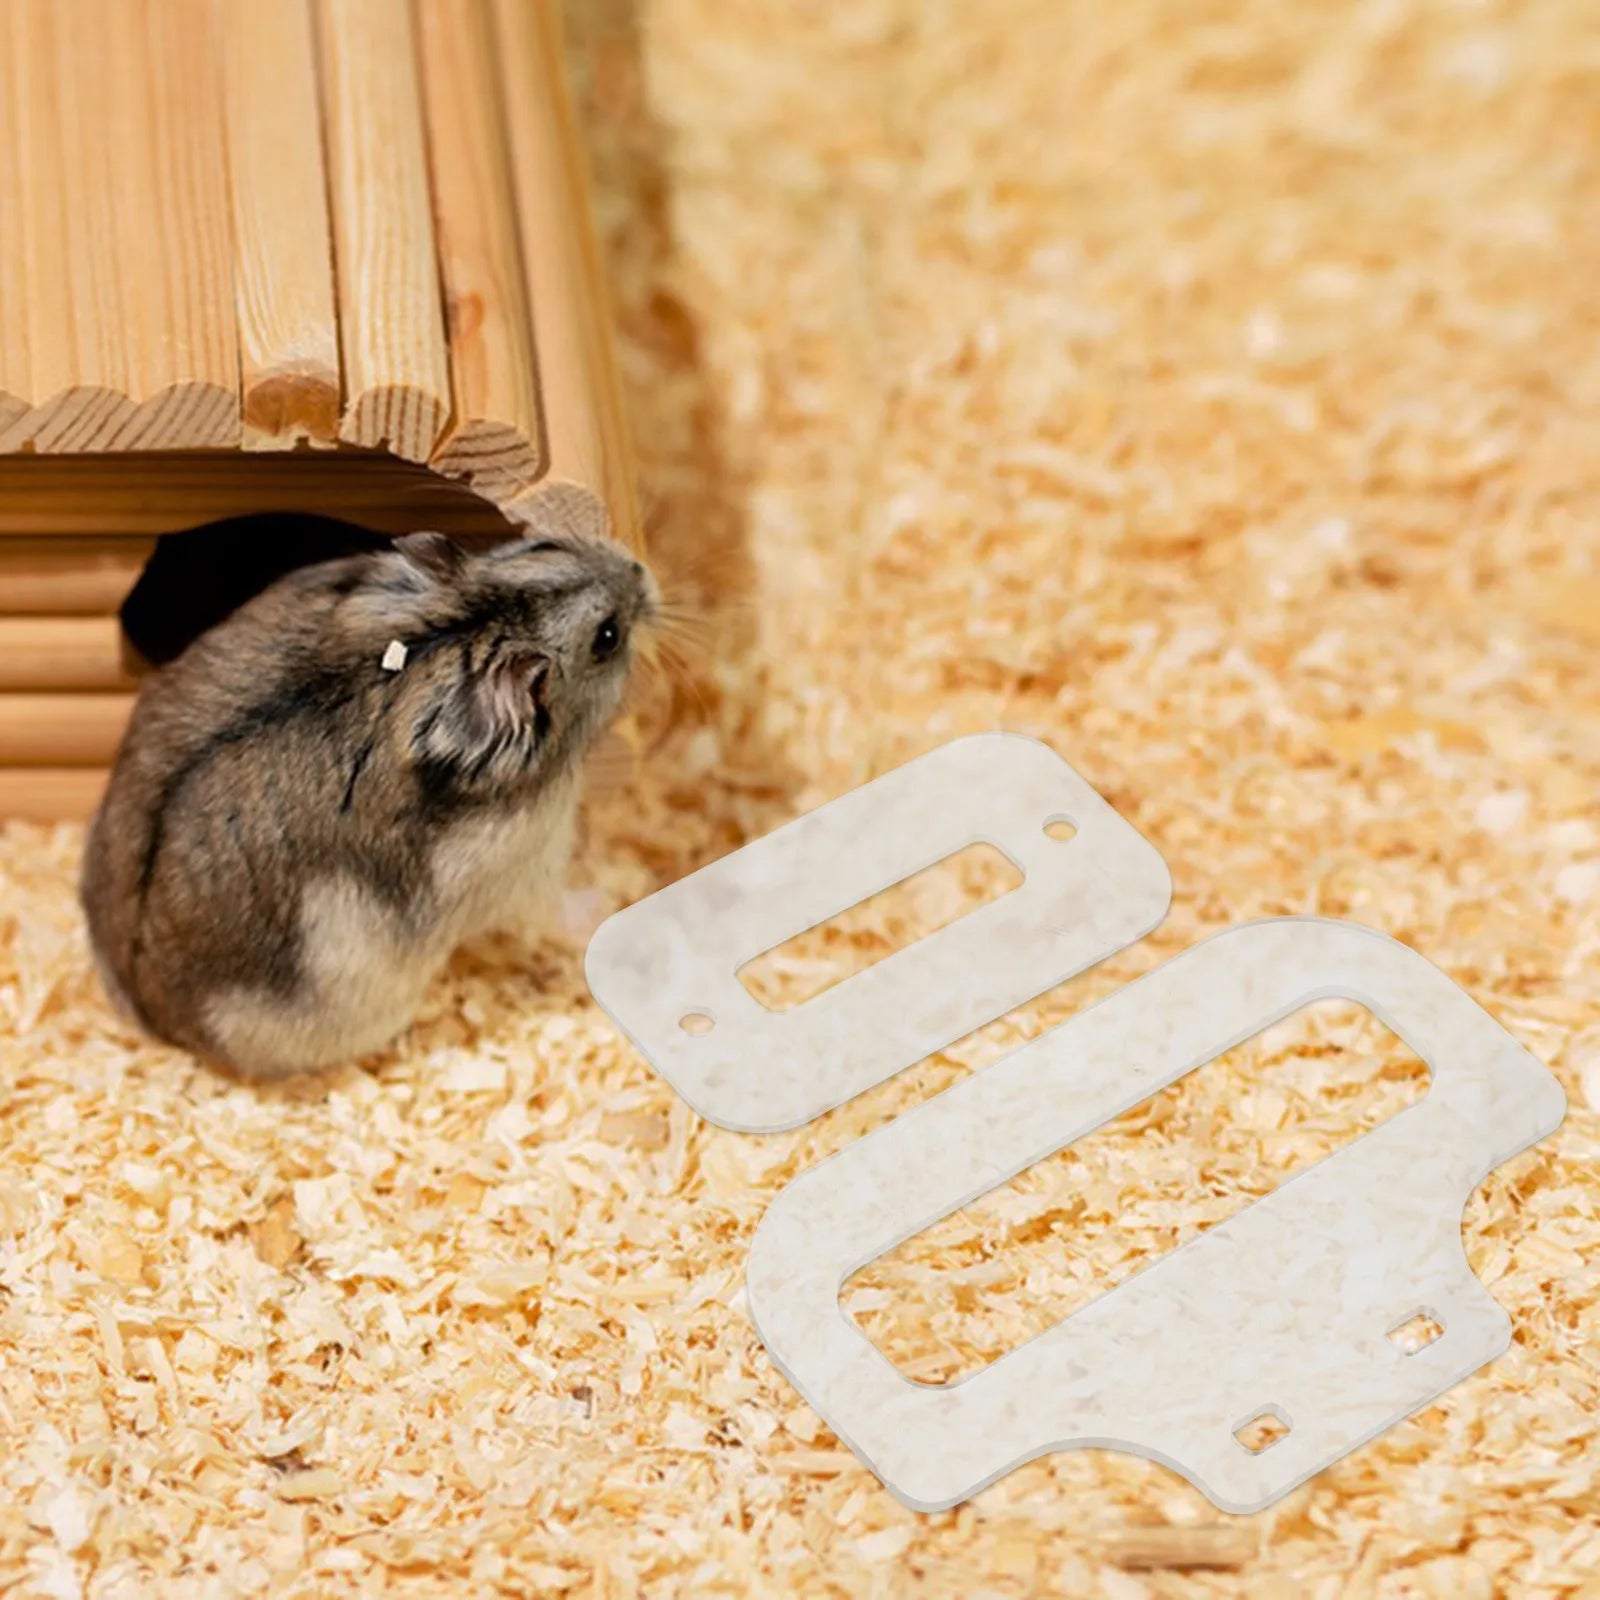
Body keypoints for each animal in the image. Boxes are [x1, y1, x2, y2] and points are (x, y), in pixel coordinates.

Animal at [80, 528, 653, 1078]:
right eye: (607, 637)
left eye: (546, 542)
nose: (641, 571)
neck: (464, 632)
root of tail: (152, 1018)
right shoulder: (525, 870)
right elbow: (558, 913)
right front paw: (613, 901)